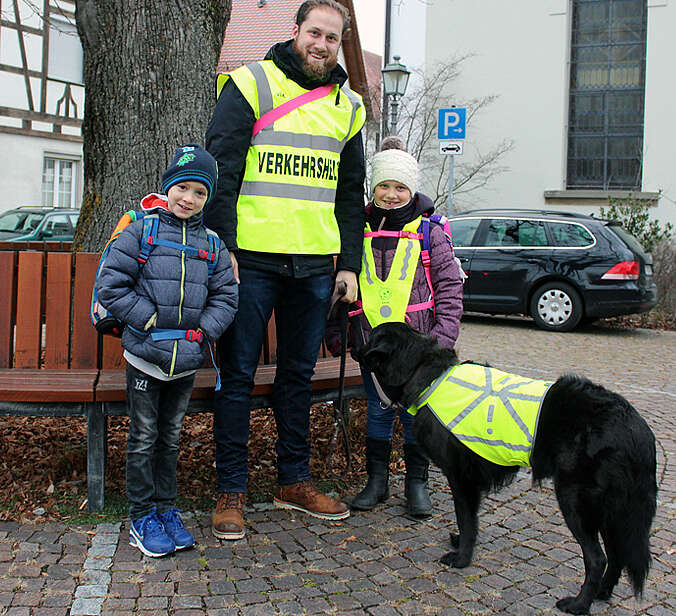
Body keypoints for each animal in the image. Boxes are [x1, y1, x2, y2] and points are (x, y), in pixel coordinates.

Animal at [356, 324, 656, 612]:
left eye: (370, 337)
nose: (355, 348)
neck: (427, 374)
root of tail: (635, 428)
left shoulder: (461, 479)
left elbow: (466, 520)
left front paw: (462, 558)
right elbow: (470, 522)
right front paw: (461, 545)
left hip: (575, 500)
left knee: (597, 558)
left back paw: (579, 604)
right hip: (611, 510)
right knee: (617, 554)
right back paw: (603, 593)